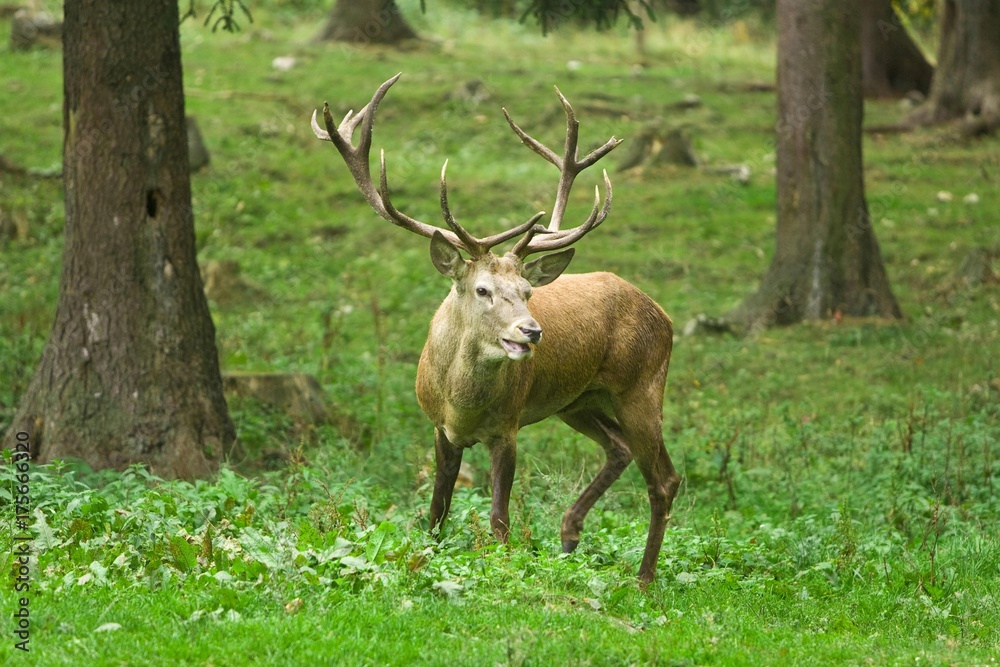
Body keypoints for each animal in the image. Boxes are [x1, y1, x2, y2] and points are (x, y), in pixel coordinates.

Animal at [312, 74, 680, 584]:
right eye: (482, 289)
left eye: (527, 290)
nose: (532, 332)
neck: (461, 402)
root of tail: (664, 315)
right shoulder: (438, 427)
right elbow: (436, 513)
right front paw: (429, 558)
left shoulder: (507, 427)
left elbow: (500, 521)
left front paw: (504, 571)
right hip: (580, 401)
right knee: (620, 449)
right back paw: (569, 534)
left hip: (642, 386)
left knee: (663, 479)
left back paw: (643, 580)